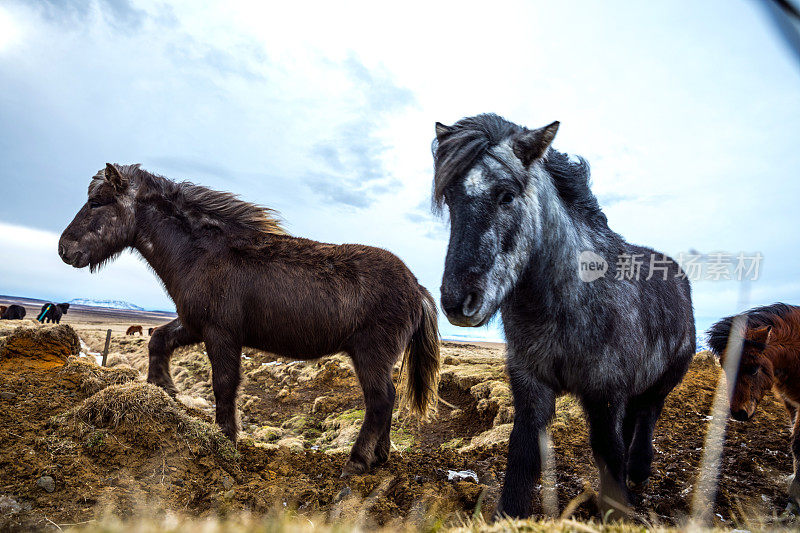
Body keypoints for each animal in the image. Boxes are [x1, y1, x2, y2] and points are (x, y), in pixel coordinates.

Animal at [59, 162, 440, 474]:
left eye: (97, 202)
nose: (64, 249)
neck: (201, 253)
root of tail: (417, 289)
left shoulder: (220, 332)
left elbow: (224, 384)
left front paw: (226, 441)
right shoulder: (195, 324)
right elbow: (159, 340)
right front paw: (163, 388)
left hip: (369, 355)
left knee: (380, 400)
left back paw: (357, 462)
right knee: (388, 399)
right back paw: (381, 457)